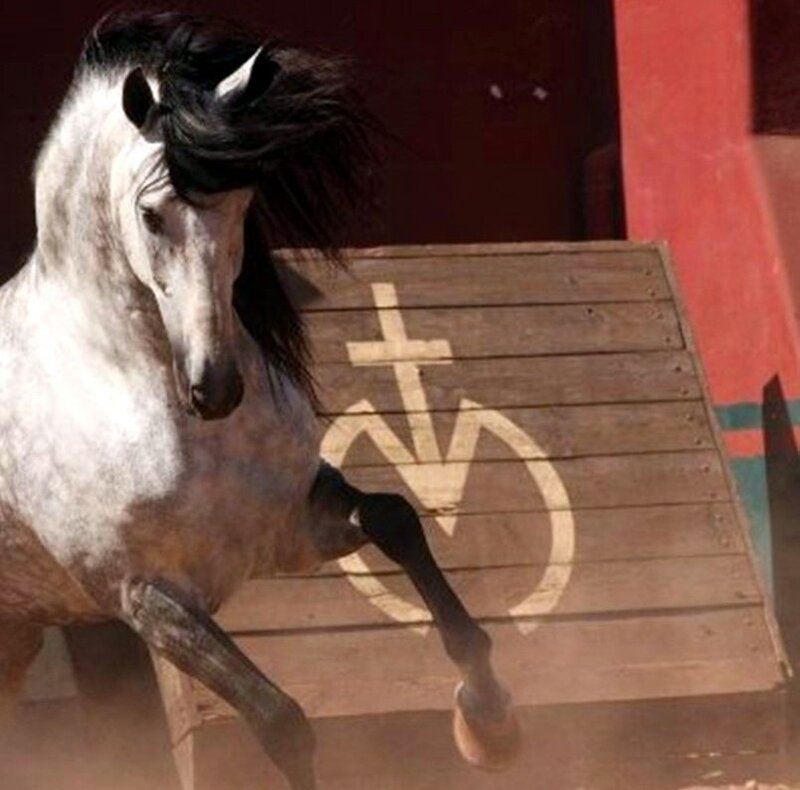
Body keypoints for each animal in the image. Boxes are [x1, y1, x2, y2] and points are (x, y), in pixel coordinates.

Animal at [0, 12, 518, 788]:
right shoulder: (148, 598)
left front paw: (488, 719)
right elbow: (279, 720)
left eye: (242, 204)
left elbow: (395, 519)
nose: (216, 388)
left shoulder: (286, 530)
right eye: (150, 214)